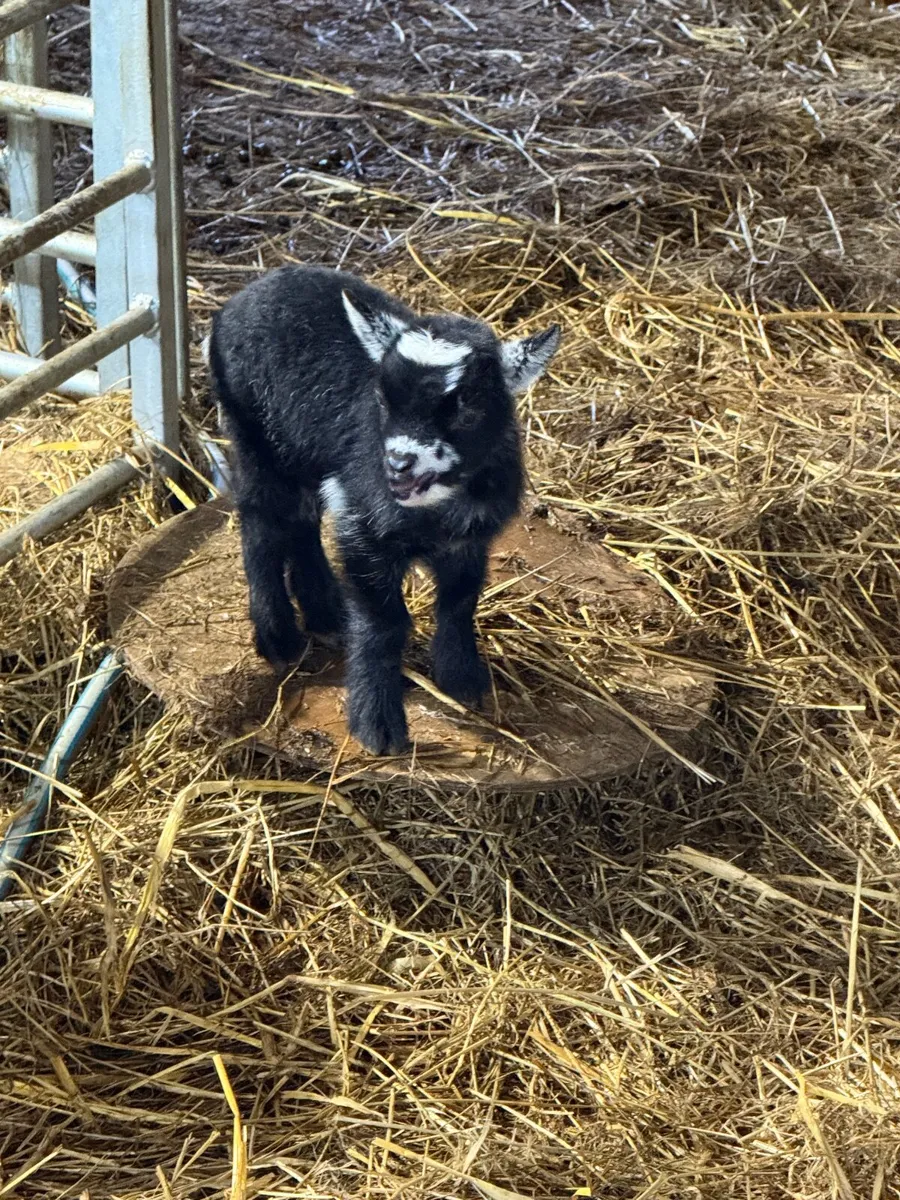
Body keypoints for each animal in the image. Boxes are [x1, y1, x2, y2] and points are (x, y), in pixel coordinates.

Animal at [207, 265, 560, 755]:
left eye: (464, 405)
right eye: (382, 398)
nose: (397, 462)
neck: (433, 511)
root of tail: (247, 292)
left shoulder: (469, 538)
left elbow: (460, 601)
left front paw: (462, 680)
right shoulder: (365, 523)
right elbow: (385, 622)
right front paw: (377, 725)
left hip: (303, 453)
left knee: (301, 522)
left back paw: (325, 611)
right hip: (252, 432)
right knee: (262, 521)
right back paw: (278, 636)